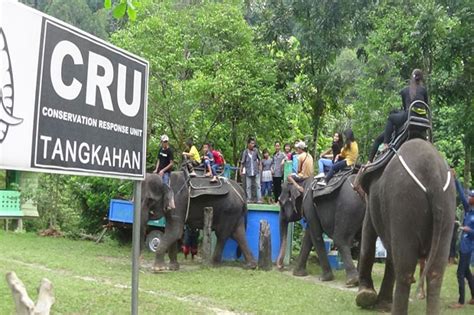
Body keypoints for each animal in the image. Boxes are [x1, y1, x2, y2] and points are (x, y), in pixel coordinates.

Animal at [356, 139, 456, 314]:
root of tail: (434, 175)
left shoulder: (372, 199)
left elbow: (368, 233)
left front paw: (365, 296)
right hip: (447, 210)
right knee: (435, 272)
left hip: (403, 203)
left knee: (405, 270)